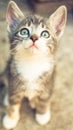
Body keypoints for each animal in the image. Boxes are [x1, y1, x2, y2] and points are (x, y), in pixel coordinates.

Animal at [2, 0, 66, 129]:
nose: (34, 38)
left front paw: (42, 115)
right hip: (7, 69)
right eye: (24, 31)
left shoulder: (49, 81)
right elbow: (13, 102)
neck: (32, 62)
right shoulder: (14, 79)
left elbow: (44, 99)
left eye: (45, 34)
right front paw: (10, 118)